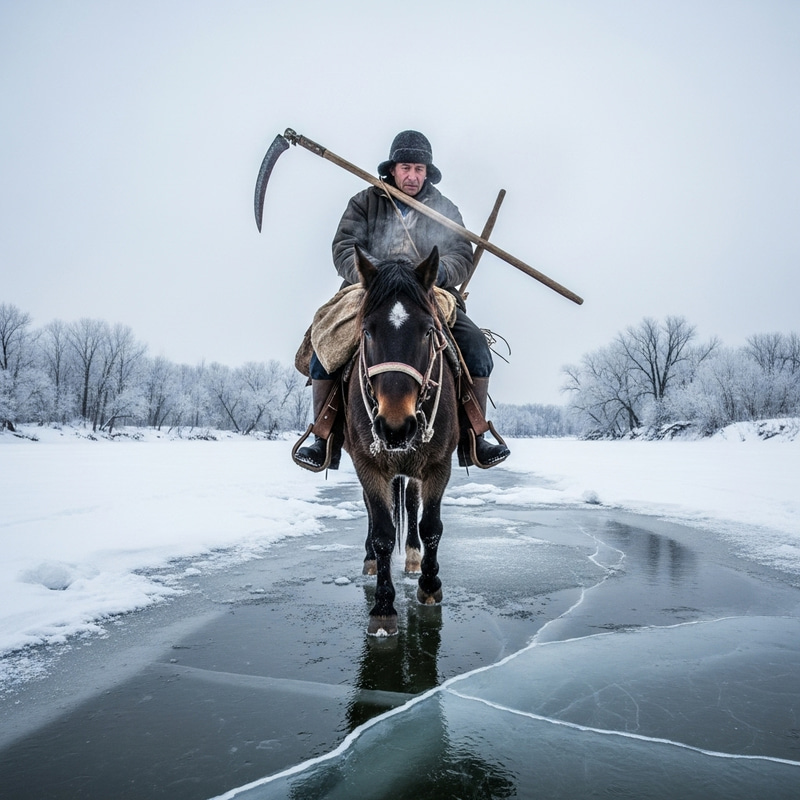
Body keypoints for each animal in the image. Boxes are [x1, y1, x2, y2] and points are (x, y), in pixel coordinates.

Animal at [344, 245, 459, 636]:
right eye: (366, 330)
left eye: (428, 331)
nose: (395, 427)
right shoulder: (368, 464)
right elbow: (382, 532)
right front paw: (382, 609)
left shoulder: (439, 464)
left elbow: (432, 527)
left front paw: (429, 587)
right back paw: (369, 561)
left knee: (410, 502)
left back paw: (411, 557)